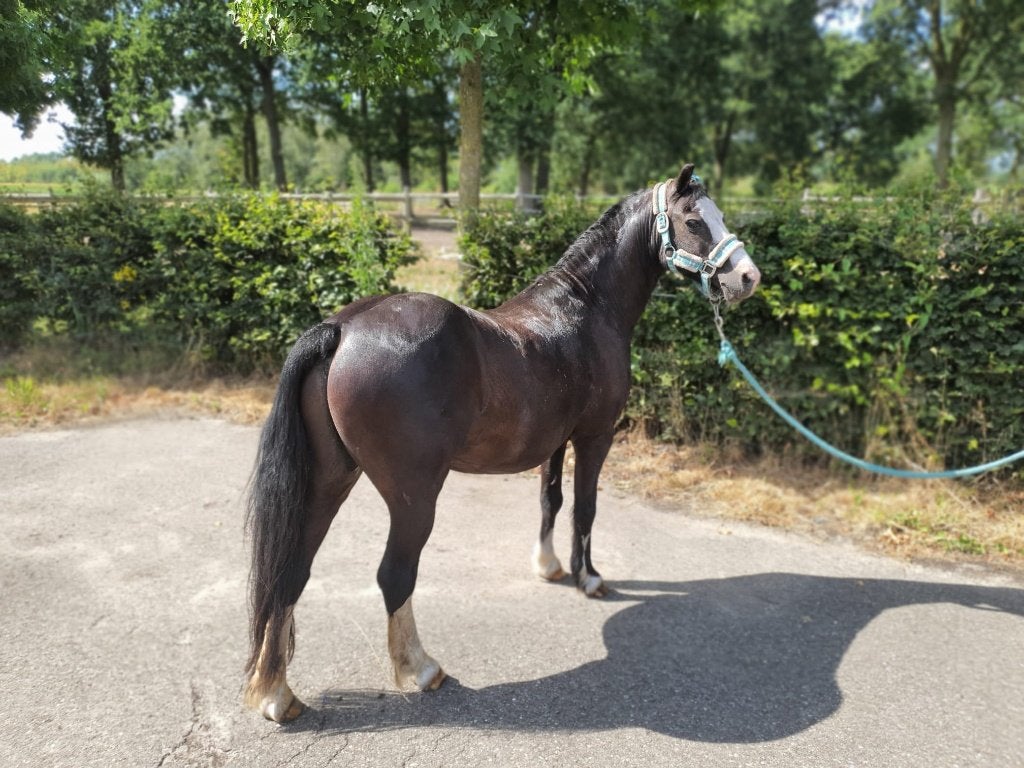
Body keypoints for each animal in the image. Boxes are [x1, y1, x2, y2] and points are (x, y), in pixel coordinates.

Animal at [243, 163, 762, 722]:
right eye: (694, 220)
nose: (748, 277)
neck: (584, 308)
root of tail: (341, 330)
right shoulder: (595, 437)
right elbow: (585, 508)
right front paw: (589, 578)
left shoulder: (556, 442)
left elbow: (551, 500)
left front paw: (549, 567)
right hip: (412, 496)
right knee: (394, 575)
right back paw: (420, 669)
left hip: (329, 480)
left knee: (290, 571)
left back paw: (276, 694)